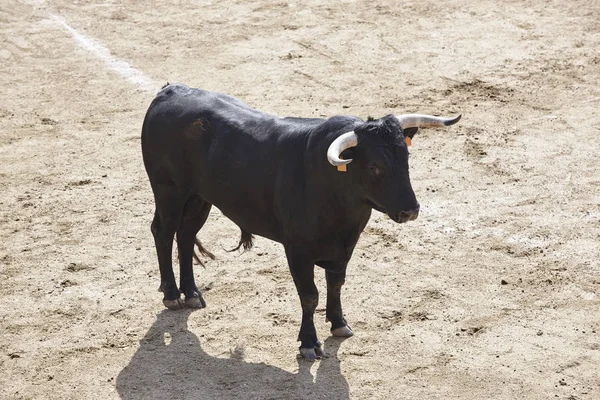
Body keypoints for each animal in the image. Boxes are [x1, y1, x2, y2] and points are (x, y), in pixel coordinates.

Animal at [141, 84, 460, 360]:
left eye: (406, 158)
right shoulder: (297, 250)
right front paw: (309, 344)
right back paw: (172, 295)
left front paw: (339, 324)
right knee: (163, 232)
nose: (410, 211)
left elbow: (336, 284)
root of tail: (169, 91)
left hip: (198, 197)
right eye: (374, 167)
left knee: (185, 235)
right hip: (169, 191)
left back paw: (193, 294)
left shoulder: (344, 247)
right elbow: (310, 296)